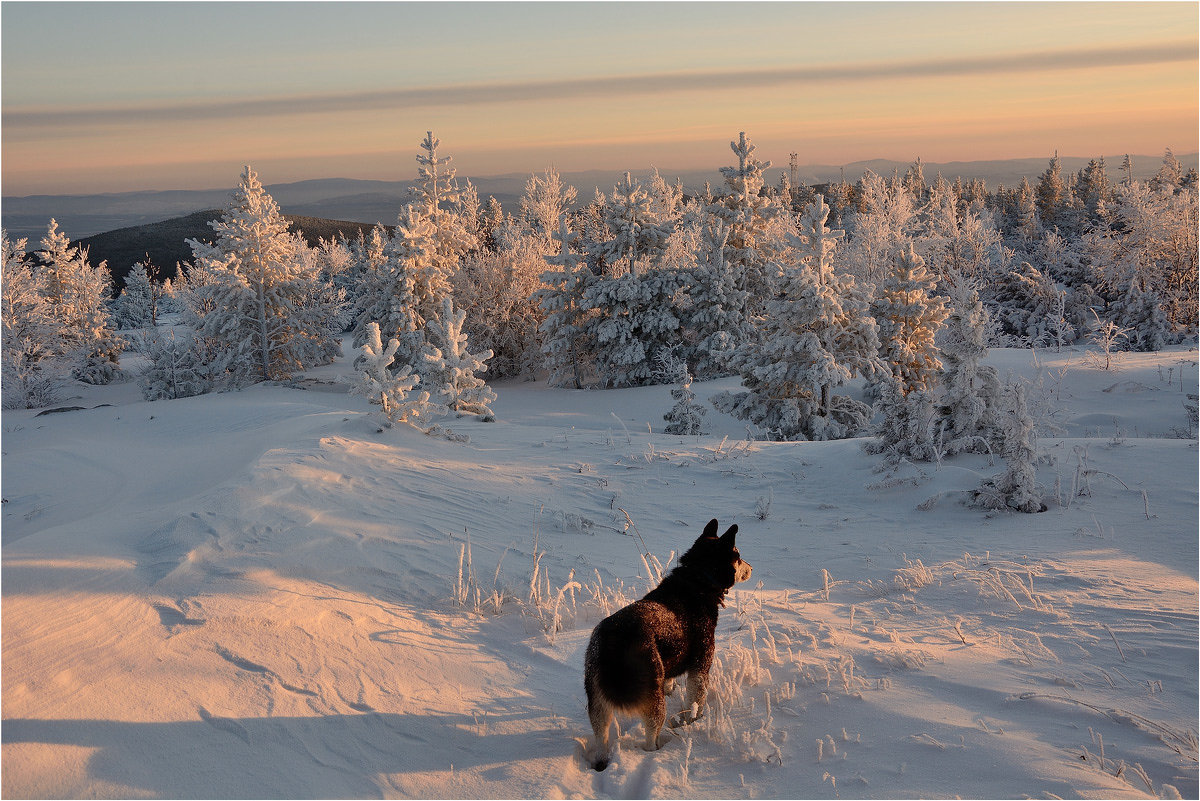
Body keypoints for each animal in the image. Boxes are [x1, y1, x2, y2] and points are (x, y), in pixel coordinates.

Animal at [580, 520, 748, 767]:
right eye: (738, 556)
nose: (751, 568)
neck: (698, 579)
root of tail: (615, 640)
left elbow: (670, 683)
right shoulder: (701, 666)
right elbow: (696, 700)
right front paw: (694, 721)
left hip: (597, 703)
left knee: (601, 738)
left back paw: (601, 759)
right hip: (652, 702)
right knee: (651, 737)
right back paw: (657, 750)